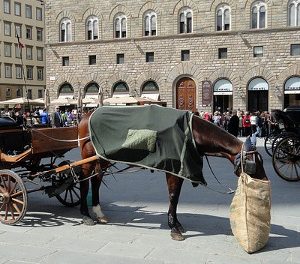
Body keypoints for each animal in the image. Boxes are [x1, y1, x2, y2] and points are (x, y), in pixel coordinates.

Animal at [78, 108, 268, 241]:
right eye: (256, 163)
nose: (265, 180)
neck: (192, 132)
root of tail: (86, 115)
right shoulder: (173, 170)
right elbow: (173, 196)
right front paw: (173, 227)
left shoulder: (181, 169)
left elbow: (175, 198)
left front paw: (176, 223)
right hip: (88, 158)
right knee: (84, 181)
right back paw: (85, 214)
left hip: (102, 159)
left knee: (96, 181)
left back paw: (98, 211)